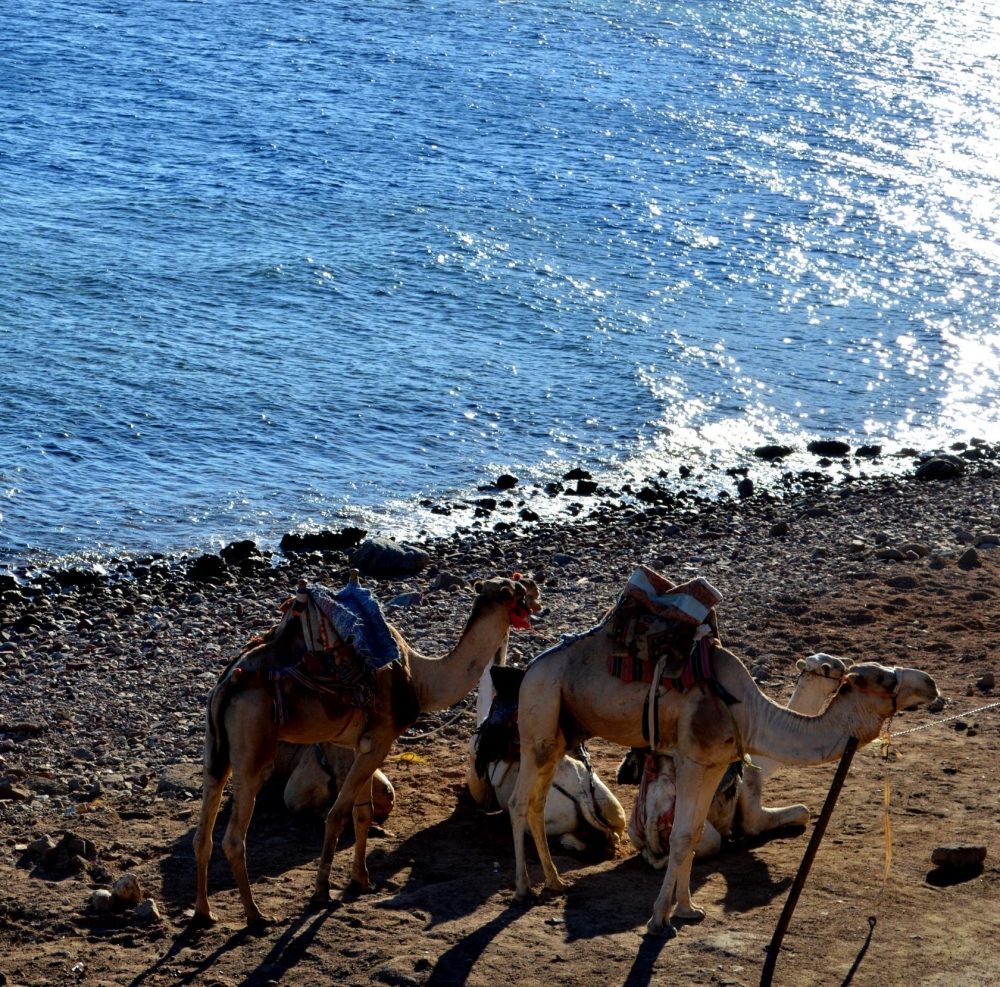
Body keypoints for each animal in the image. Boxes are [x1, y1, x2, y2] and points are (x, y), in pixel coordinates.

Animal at [194, 572, 540, 928]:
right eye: (515, 591)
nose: (536, 589)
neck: (421, 679)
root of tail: (226, 685)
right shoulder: (380, 740)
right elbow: (337, 815)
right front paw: (321, 894)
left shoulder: (353, 743)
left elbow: (362, 813)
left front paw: (360, 881)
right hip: (252, 746)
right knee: (234, 837)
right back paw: (256, 916)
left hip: (214, 747)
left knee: (203, 832)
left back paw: (205, 913)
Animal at [624, 656, 852, 864]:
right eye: (833, 667)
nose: (848, 665)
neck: (761, 761)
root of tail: (653, 816)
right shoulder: (752, 791)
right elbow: (798, 812)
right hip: (699, 833)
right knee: (704, 844)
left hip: (634, 829)